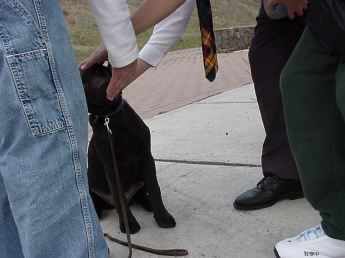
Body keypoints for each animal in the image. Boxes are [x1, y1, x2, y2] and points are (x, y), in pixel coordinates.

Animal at [80, 64, 175, 234]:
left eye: (98, 71)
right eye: (84, 85)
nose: (105, 85)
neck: (112, 117)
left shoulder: (146, 156)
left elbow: (155, 188)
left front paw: (163, 216)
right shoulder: (110, 166)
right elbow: (119, 197)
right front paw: (128, 223)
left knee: (142, 195)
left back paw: (148, 204)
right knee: (100, 203)